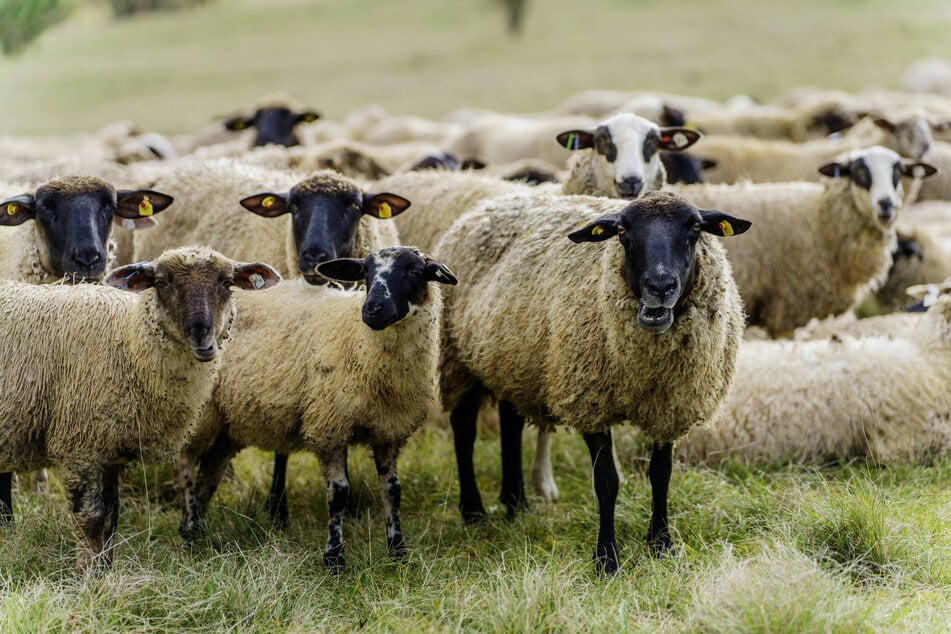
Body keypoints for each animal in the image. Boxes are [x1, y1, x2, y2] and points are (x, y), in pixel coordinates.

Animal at [0, 246, 281, 570]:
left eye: (226, 282)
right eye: (162, 282)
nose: (201, 334)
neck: (128, 342)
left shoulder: (110, 452)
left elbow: (111, 519)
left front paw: (104, 573)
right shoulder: (80, 447)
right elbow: (92, 520)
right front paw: (87, 576)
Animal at [176, 247, 456, 567]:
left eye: (414, 271)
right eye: (366, 273)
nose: (372, 310)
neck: (359, 341)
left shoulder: (388, 431)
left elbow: (392, 490)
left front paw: (398, 552)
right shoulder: (328, 426)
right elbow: (339, 493)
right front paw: (334, 558)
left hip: (227, 424)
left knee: (209, 472)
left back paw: (200, 526)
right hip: (199, 413)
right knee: (185, 463)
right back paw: (189, 529)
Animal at [432, 190, 750, 574]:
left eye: (695, 228)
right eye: (623, 231)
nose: (660, 286)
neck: (648, 367)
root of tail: (489, 204)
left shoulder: (670, 406)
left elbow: (661, 474)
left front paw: (662, 544)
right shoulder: (591, 400)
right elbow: (606, 482)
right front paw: (607, 559)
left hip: (514, 359)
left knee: (510, 422)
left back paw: (515, 502)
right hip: (458, 361)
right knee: (464, 431)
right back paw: (474, 511)